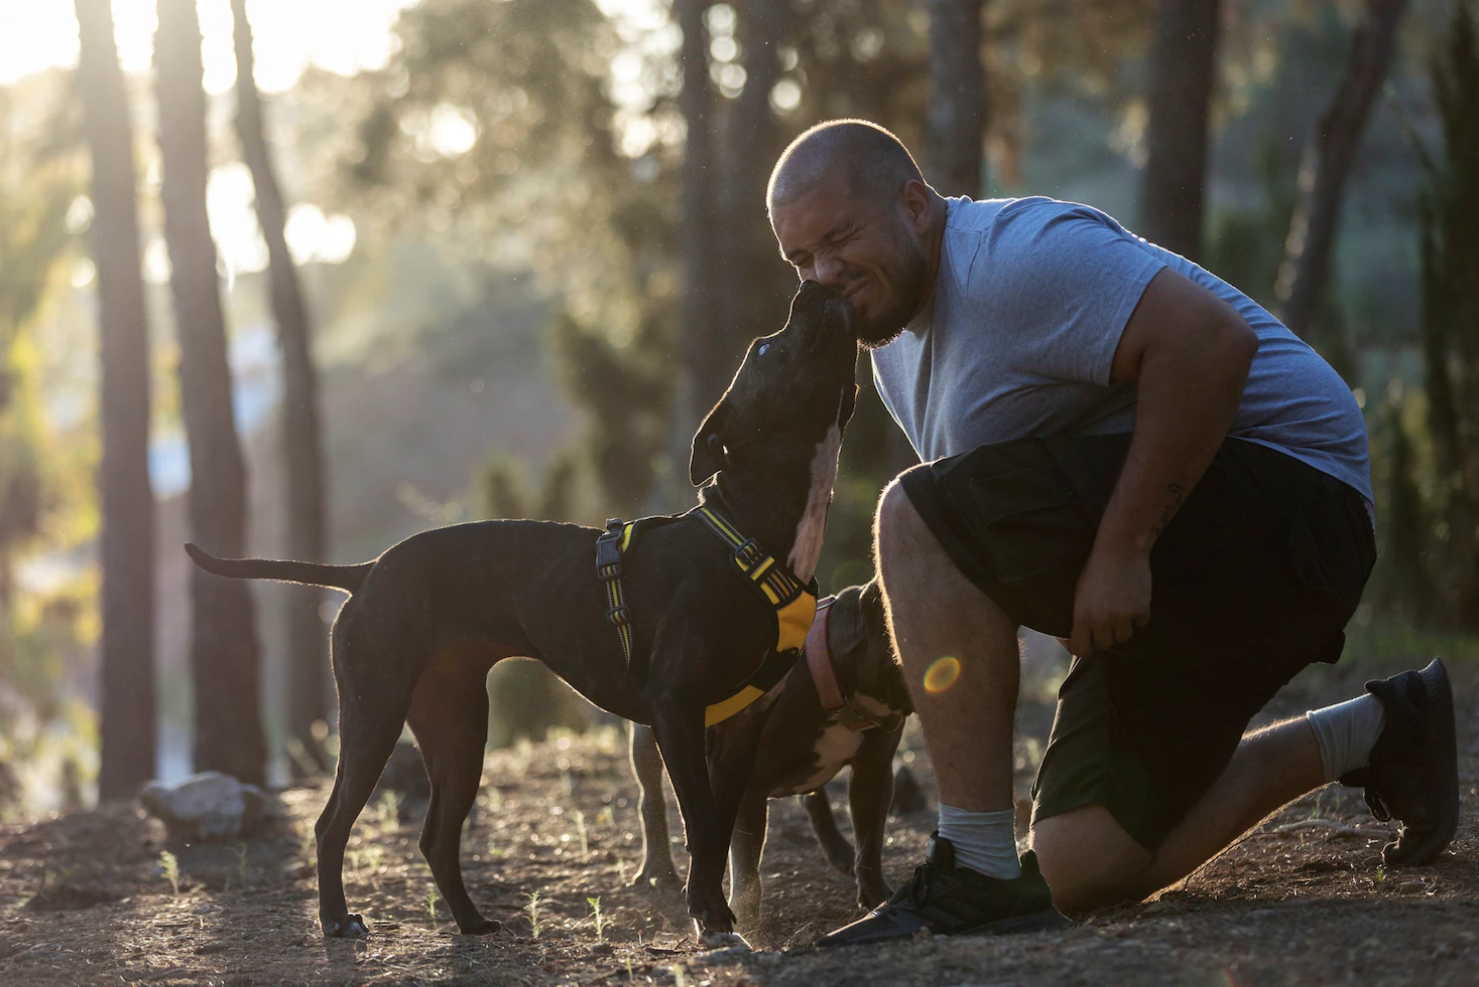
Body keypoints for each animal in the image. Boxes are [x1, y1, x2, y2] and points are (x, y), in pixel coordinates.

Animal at [633, 580, 911, 929]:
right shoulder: (749, 788)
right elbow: (747, 866)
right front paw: (746, 921)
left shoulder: (873, 772)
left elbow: (870, 840)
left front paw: (878, 898)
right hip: (650, 740)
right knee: (651, 797)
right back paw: (657, 870)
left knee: (814, 800)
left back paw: (841, 852)